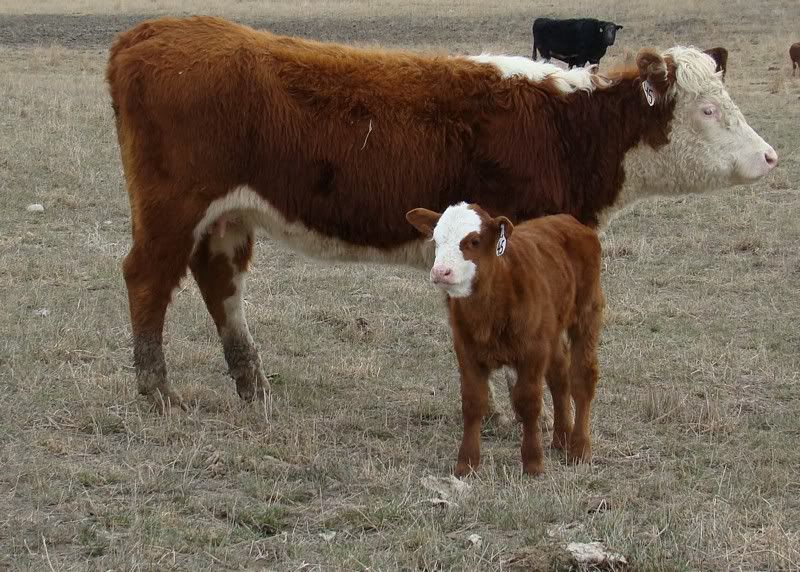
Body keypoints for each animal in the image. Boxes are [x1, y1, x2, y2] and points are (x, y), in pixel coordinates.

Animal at [106, 16, 777, 412]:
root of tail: (154, 29)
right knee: (146, 278)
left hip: (227, 219)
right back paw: (155, 390)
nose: (770, 156)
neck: (564, 128)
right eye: (708, 110)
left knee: (220, 286)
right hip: (172, 209)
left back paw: (254, 388)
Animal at [406, 204, 603, 476]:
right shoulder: (466, 350)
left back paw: (580, 448)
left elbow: (528, 401)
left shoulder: (533, 350)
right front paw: (466, 463)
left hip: (587, 312)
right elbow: (473, 401)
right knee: (559, 375)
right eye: (436, 240)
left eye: (474, 241)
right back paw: (561, 439)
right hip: (552, 330)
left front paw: (533, 462)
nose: (440, 272)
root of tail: (567, 220)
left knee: (582, 378)